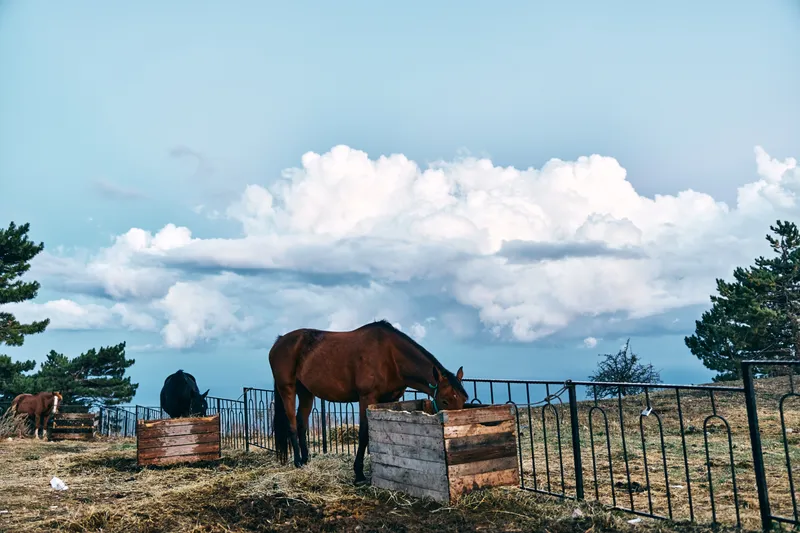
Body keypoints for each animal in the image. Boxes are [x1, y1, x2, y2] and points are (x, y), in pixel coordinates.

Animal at [269, 319, 468, 484]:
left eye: (464, 399)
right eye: (445, 401)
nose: (457, 434)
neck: (390, 356)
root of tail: (279, 342)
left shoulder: (390, 399)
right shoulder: (367, 397)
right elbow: (364, 433)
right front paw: (359, 474)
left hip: (306, 391)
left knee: (301, 422)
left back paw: (305, 459)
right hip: (287, 388)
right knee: (292, 422)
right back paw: (297, 461)